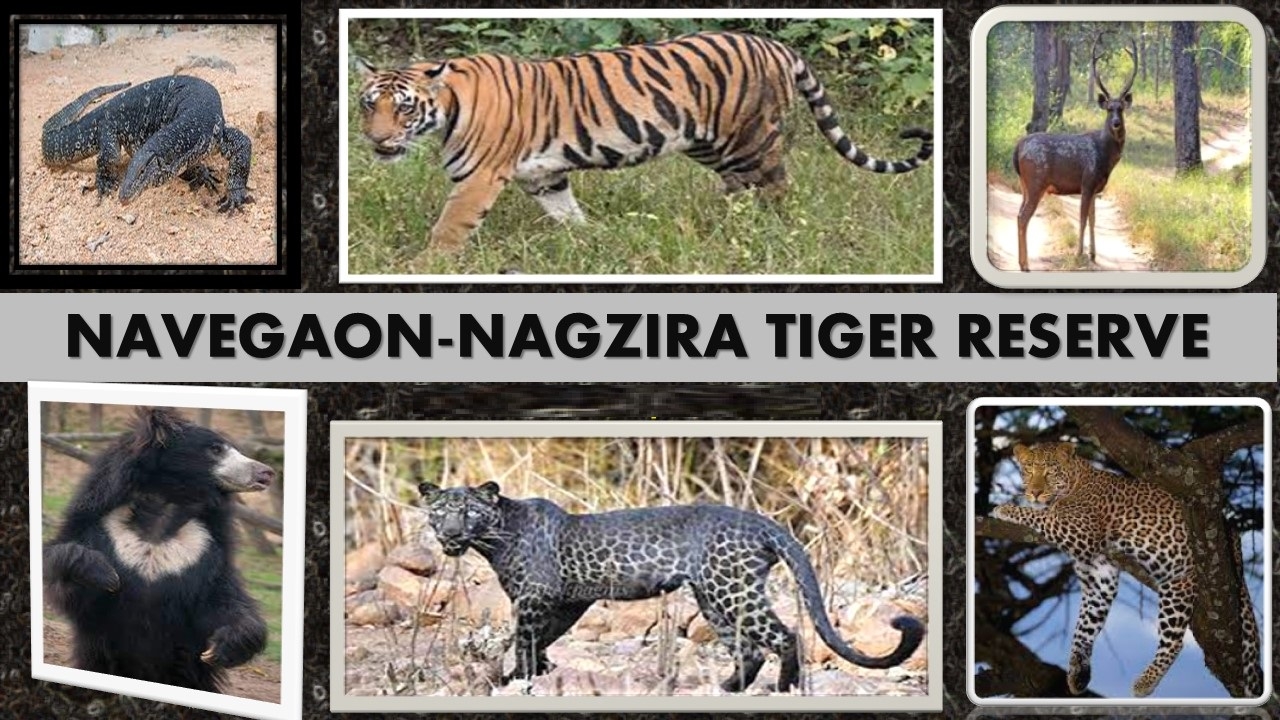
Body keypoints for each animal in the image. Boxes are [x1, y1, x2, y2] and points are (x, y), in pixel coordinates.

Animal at [353, 31, 934, 254]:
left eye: (402, 107)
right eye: (367, 104)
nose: (377, 140)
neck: (446, 107)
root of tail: (772, 42)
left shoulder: (477, 178)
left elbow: (448, 228)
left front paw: (425, 265)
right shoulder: (545, 176)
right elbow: (567, 212)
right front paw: (590, 241)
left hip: (750, 138)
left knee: (777, 188)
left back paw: (777, 236)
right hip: (712, 145)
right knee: (741, 190)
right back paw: (729, 231)